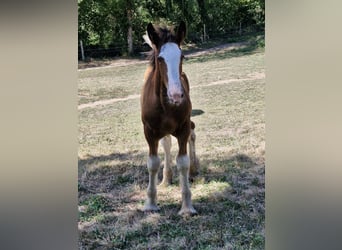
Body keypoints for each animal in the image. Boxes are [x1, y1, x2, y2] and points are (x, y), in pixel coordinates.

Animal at [140, 21, 199, 215]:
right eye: (160, 59)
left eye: (182, 56)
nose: (176, 95)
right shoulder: (149, 132)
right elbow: (152, 163)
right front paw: (150, 203)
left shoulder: (183, 128)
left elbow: (183, 162)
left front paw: (187, 207)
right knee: (166, 144)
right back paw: (166, 179)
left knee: (192, 134)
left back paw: (194, 169)